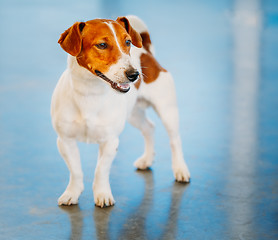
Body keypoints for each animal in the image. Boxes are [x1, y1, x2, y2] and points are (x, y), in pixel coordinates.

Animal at [51, 15, 191, 207]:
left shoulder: (110, 141)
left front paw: (102, 194)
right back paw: (147, 159)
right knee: (149, 128)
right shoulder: (65, 141)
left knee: (174, 140)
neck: (90, 94)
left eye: (128, 42)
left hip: (167, 111)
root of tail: (146, 53)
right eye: (102, 45)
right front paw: (72, 193)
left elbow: (101, 170)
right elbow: (76, 171)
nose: (135, 75)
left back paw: (180, 169)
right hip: (133, 115)